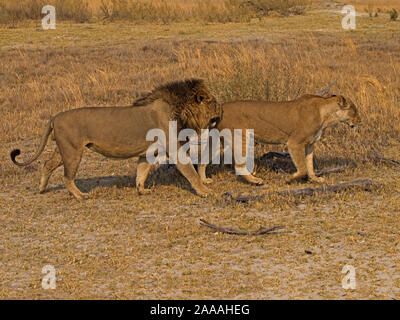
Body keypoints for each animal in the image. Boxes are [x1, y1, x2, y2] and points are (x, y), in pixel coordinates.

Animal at [10, 79, 222, 199]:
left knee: (47, 164)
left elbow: (141, 172)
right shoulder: (174, 149)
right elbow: (191, 173)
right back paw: (80, 196)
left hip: (63, 149)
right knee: (67, 176)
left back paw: (41, 189)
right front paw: (205, 191)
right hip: (73, 152)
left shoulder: (148, 152)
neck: (180, 109)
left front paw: (141, 191)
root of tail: (55, 116)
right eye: (213, 103)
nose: (221, 111)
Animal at [198, 94, 360, 185]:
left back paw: (204, 180)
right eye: (355, 111)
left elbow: (309, 165)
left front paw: (315, 179)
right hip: (241, 138)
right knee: (239, 166)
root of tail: (221, 107)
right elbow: (302, 168)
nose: (359, 121)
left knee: (203, 160)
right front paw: (289, 179)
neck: (326, 115)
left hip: (218, 140)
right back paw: (256, 181)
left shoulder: (310, 144)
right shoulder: (295, 142)